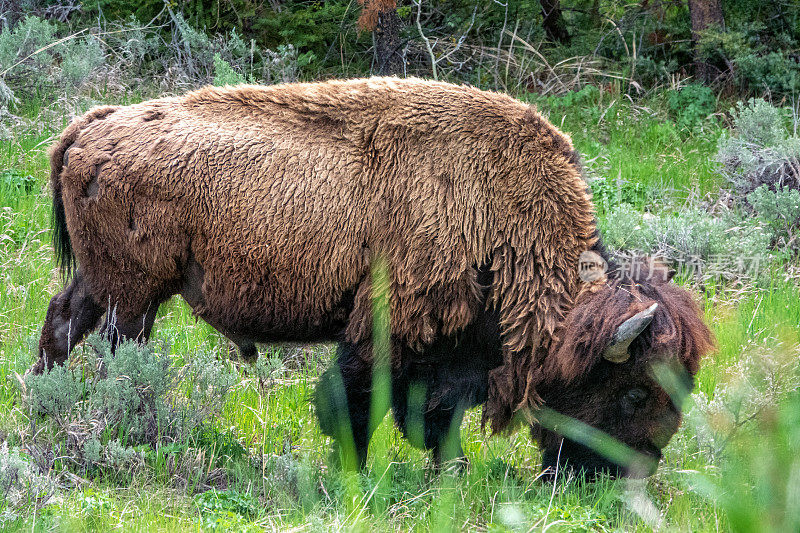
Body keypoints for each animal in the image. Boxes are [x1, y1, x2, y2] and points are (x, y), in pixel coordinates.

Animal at [34, 77, 716, 476]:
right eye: (633, 392)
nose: (637, 471)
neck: (505, 218)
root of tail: (95, 124)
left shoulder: (453, 351)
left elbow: (438, 417)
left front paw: (449, 473)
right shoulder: (387, 332)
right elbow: (356, 403)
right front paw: (355, 476)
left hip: (103, 282)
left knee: (62, 322)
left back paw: (41, 402)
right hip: (133, 292)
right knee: (118, 350)